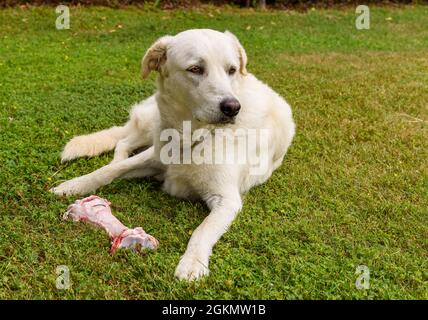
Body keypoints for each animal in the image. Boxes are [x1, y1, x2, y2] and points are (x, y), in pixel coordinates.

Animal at [51, 29, 294, 280]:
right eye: (195, 69)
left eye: (232, 70)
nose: (232, 107)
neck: (191, 139)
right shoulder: (155, 157)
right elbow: (109, 170)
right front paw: (73, 185)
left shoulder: (227, 200)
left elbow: (202, 230)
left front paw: (192, 262)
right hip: (152, 125)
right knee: (123, 141)